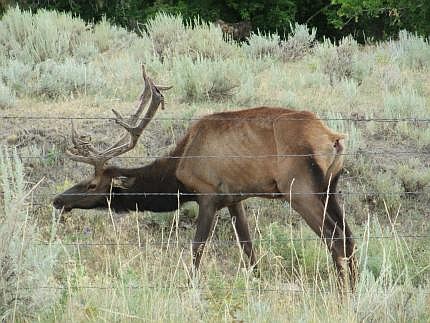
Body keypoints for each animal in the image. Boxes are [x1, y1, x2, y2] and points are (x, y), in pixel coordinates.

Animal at [53, 64, 356, 288]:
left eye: (92, 184)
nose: (58, 200)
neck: (177, 175)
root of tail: (334, 139)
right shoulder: (235, 198)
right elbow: (248, 247)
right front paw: (257, 282)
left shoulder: (208, 194)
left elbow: (197, 248)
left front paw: (190, 287)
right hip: (330, 188)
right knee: (349, 237)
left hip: (299, 189)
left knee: (335, 238)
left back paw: (343, 292)